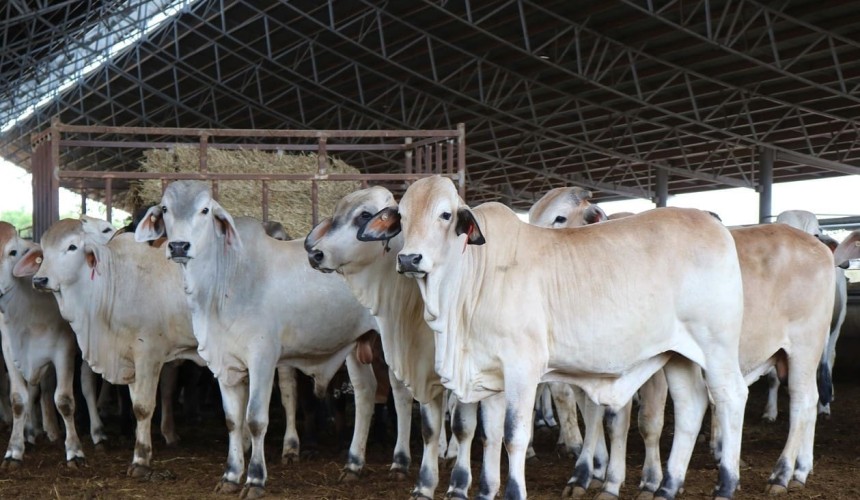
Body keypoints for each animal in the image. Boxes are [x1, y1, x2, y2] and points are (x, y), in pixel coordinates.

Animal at [0, 221, 107, 467]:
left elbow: (64, 400)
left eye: (12, 252)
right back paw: (35, 432)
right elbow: (18, 399)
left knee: (86, 387)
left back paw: (96, 433)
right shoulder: (9, 352)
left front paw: (75, 451)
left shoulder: (64, 350)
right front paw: (14, 449)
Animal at [18, 219, 204, 477]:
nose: (39, 280)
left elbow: (144, 406)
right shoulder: (130, 358)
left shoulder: (149, 355)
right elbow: (135, 405)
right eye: (43, 252)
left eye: (72, 247)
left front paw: (140, 460)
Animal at [134, 180, 380, 498]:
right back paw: (353, 465)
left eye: (205, 209)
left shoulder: (263, 358)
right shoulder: (223, 363)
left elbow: (254, 420)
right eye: (165, 209)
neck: (226, 282)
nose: (178, 246)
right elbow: (232, 420)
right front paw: (230, 475)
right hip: (357, 344)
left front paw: (255, 479)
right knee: (365, 393)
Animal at [305, 186, 484, 499]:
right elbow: (368, 394)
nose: (316, 254)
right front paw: (355, 462)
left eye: (365, 215)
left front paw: (406, 462)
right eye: (336, 215)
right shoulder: (371, 346)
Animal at [359, 175, 748, 499]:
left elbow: (514, 435)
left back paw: (726, 484)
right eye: (402, 216)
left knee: (730, 397)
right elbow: (489, 434)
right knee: (691, 407)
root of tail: (712, 223)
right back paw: (667, 487)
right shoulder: (490, 374)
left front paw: (514, 491)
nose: (409, 259)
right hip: (680, 355)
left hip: (717, 348)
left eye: (444, 214)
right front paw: (484, 490)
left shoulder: (523, 368)